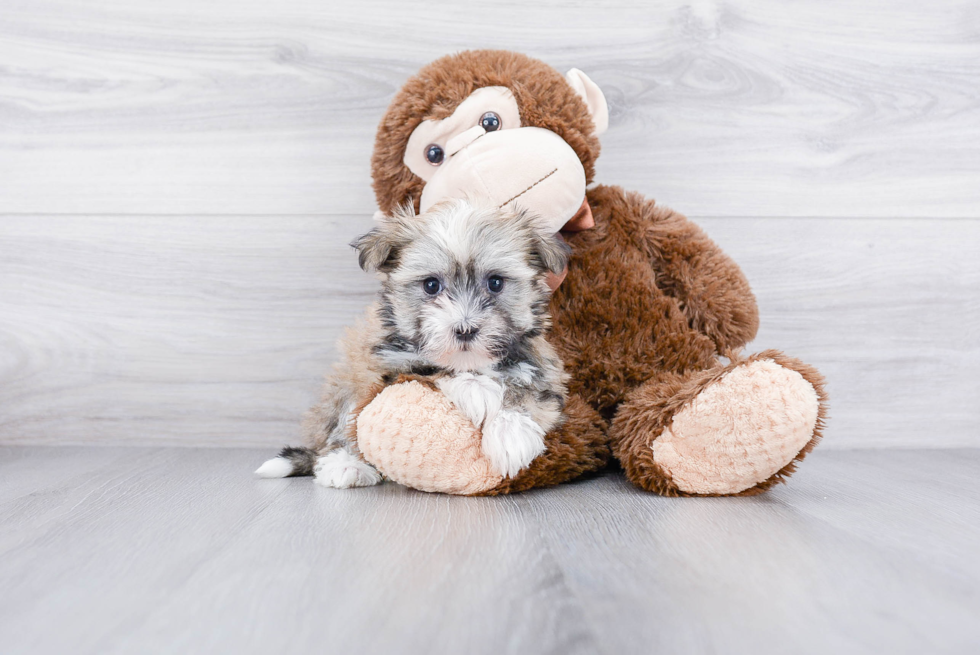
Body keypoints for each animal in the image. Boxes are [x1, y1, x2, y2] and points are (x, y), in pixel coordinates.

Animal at [256, 202, 572, 490]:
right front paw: (475, 388)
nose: (465, 329)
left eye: (495, 283)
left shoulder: (545, 369)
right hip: (348, 384)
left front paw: (511, 433)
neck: (470, 361)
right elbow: (427, 368)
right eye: (431, 285)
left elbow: (528, 391)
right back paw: (346, 464)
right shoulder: (387, 362)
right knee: (346, 424)